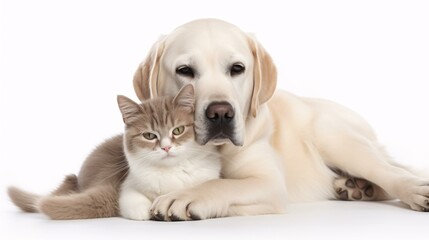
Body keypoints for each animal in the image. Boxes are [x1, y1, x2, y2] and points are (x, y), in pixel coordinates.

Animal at [7, 84, 221, 219]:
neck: (171, 171)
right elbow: (134, 204)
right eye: (149, 135)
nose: (166, 147)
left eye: (178, 130)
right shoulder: (127, 186)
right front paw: (149, 211)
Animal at [135, 19, 428, 220]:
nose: (220, 114)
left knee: (391, 172)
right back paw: (354, 187)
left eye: (237, 68)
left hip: (336, 138)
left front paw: (185, 196)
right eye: (184, 70)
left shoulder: (270, 183)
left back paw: (411, 190)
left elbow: (219, 184)